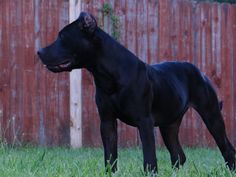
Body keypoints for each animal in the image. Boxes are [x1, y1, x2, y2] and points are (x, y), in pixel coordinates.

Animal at [37, 11, 236, 172]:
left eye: (62, 37)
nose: (39, 51)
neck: (107, 74)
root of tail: (199, 71)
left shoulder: (144, 121)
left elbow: (149, 158)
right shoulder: (107, 122)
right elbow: (110, 156)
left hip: (212, 116)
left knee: (227, 148)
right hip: (169, 125)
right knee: (178, 154)